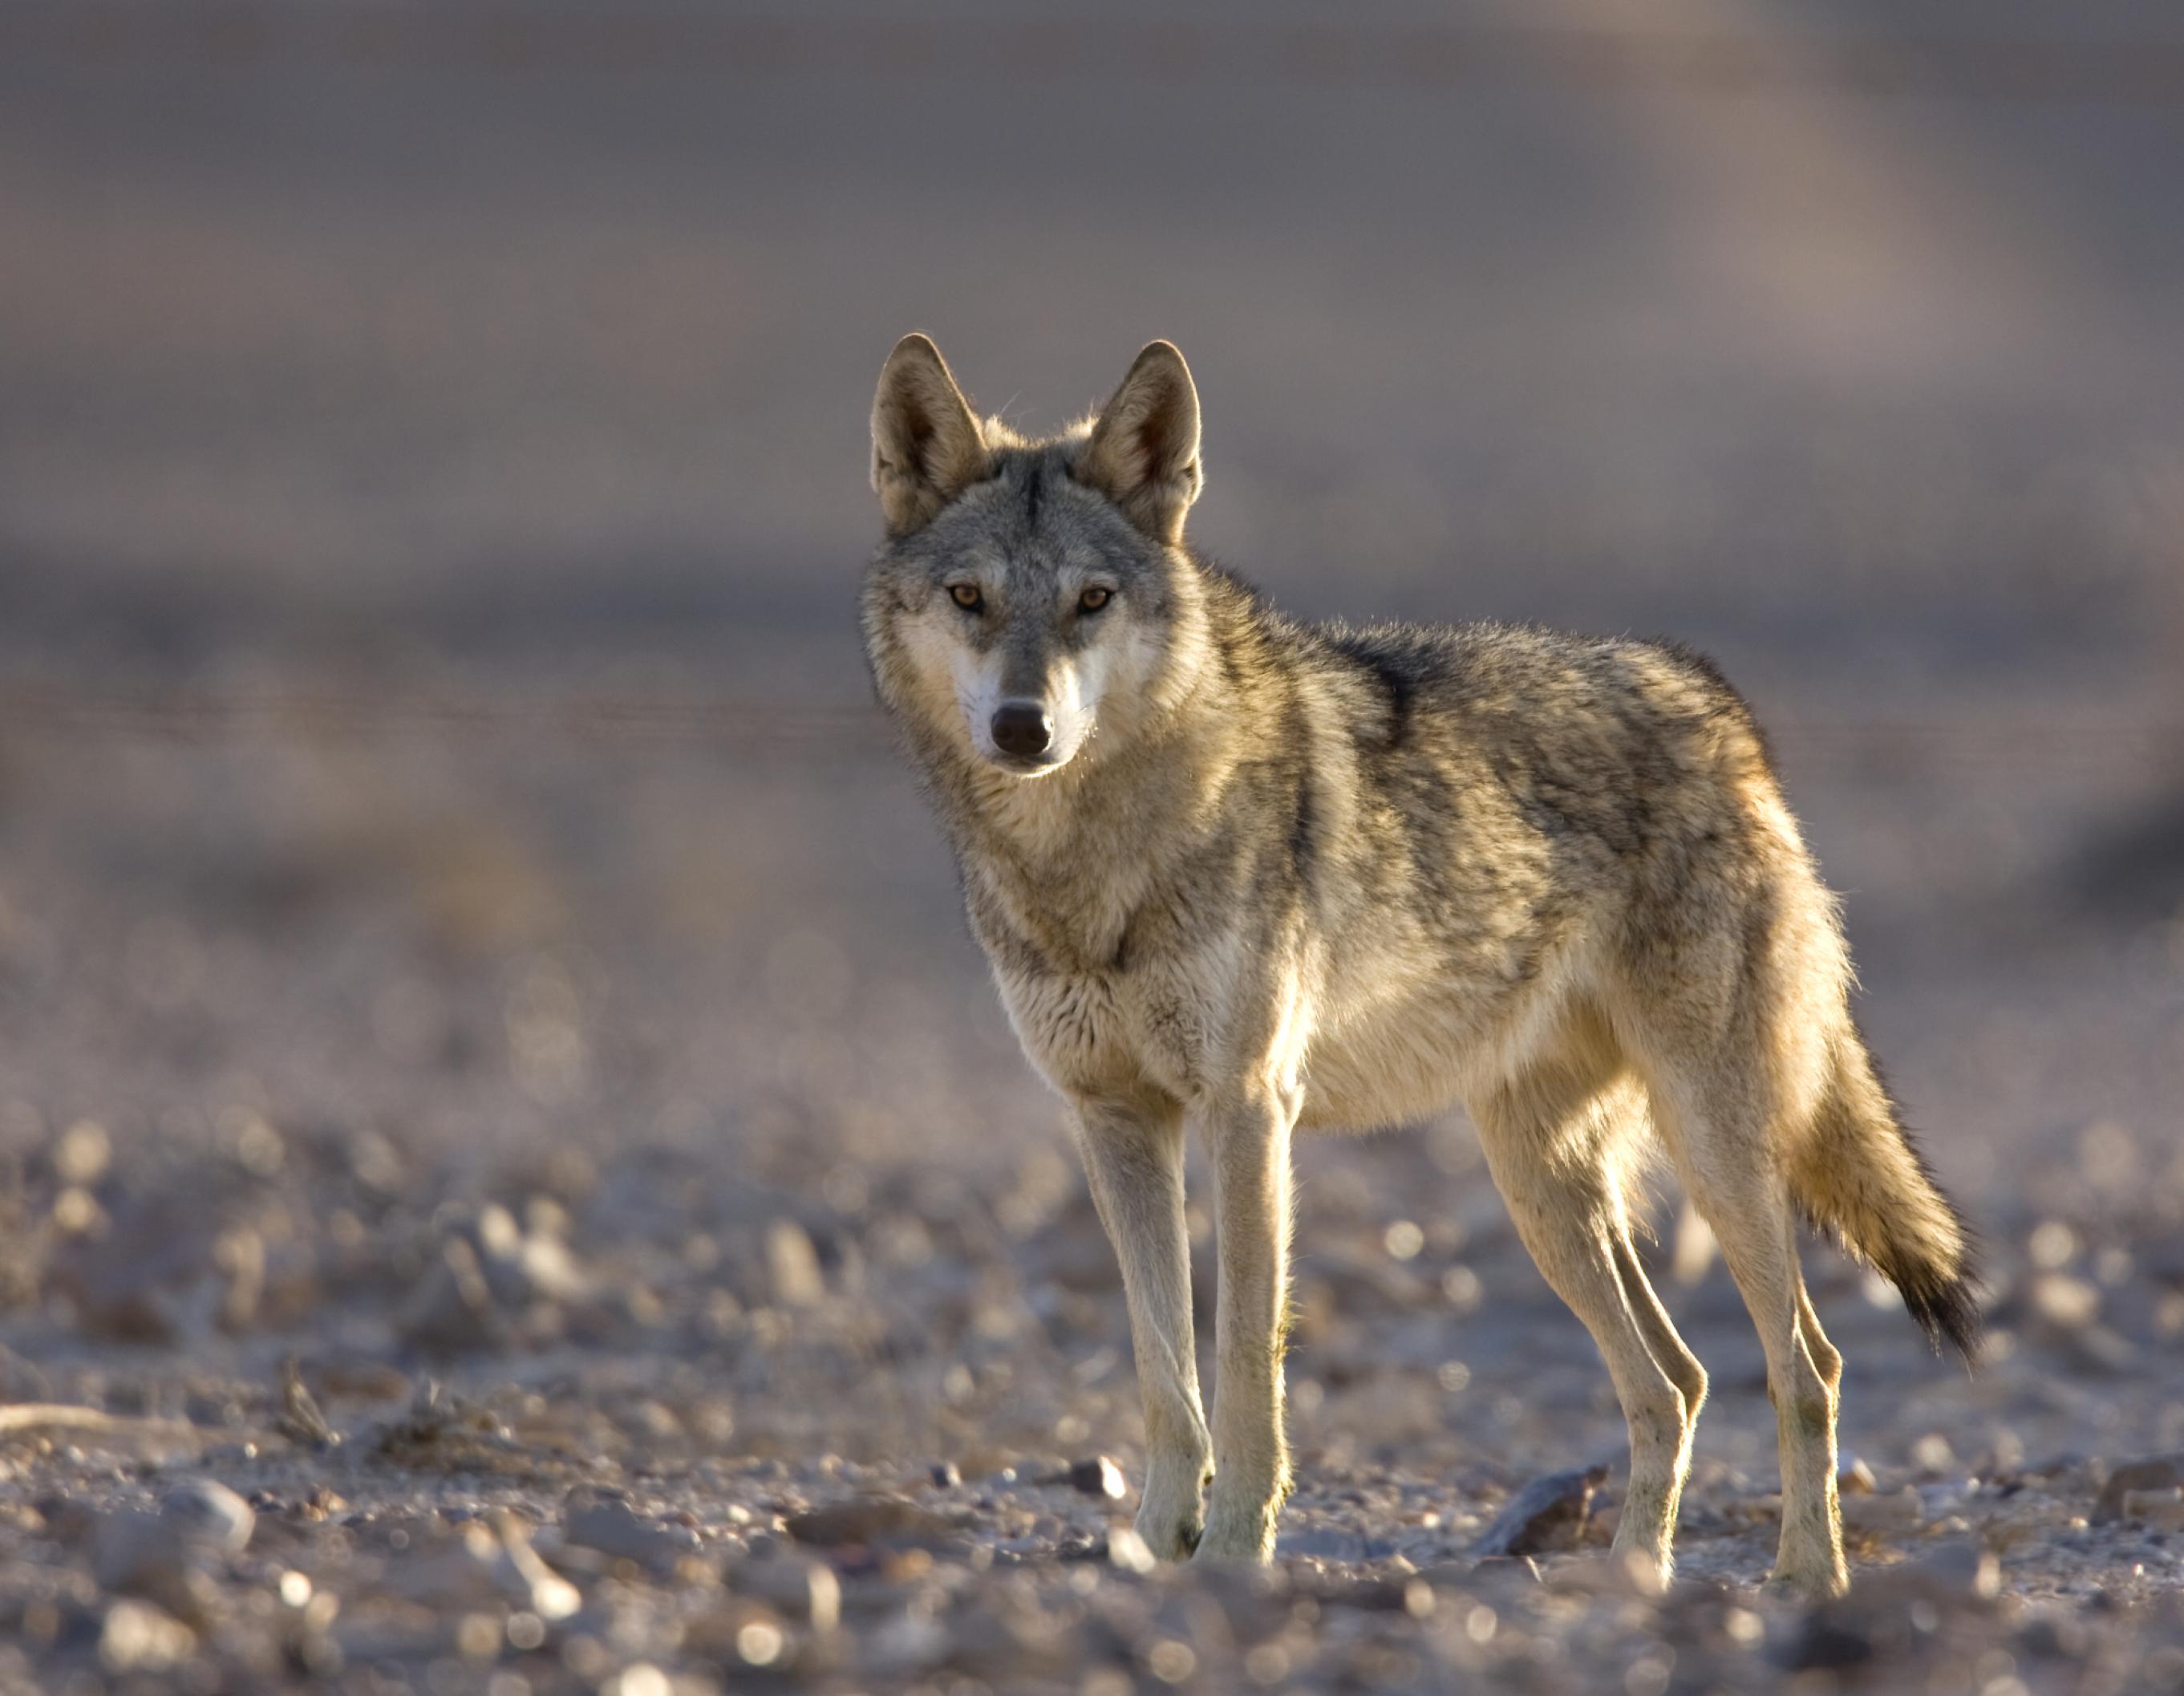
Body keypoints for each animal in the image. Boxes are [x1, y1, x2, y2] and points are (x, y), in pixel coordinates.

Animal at [856, 339, 1983, 1600]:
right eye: (970, 599)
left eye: (1089, 601)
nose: (1023, 727)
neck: (1087, 862)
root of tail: (1720, 712)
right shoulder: (1111, 1118)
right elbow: (1162, 1375)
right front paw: (1152, 1546)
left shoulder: (1248, 1109)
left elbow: (1243, 1372)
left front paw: (1234, 1553)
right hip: (1541, 1189)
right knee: (1677, 1377)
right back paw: (1629, 1578)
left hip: (1715, 1154)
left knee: (1806, 1362)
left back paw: (1803, 1579)